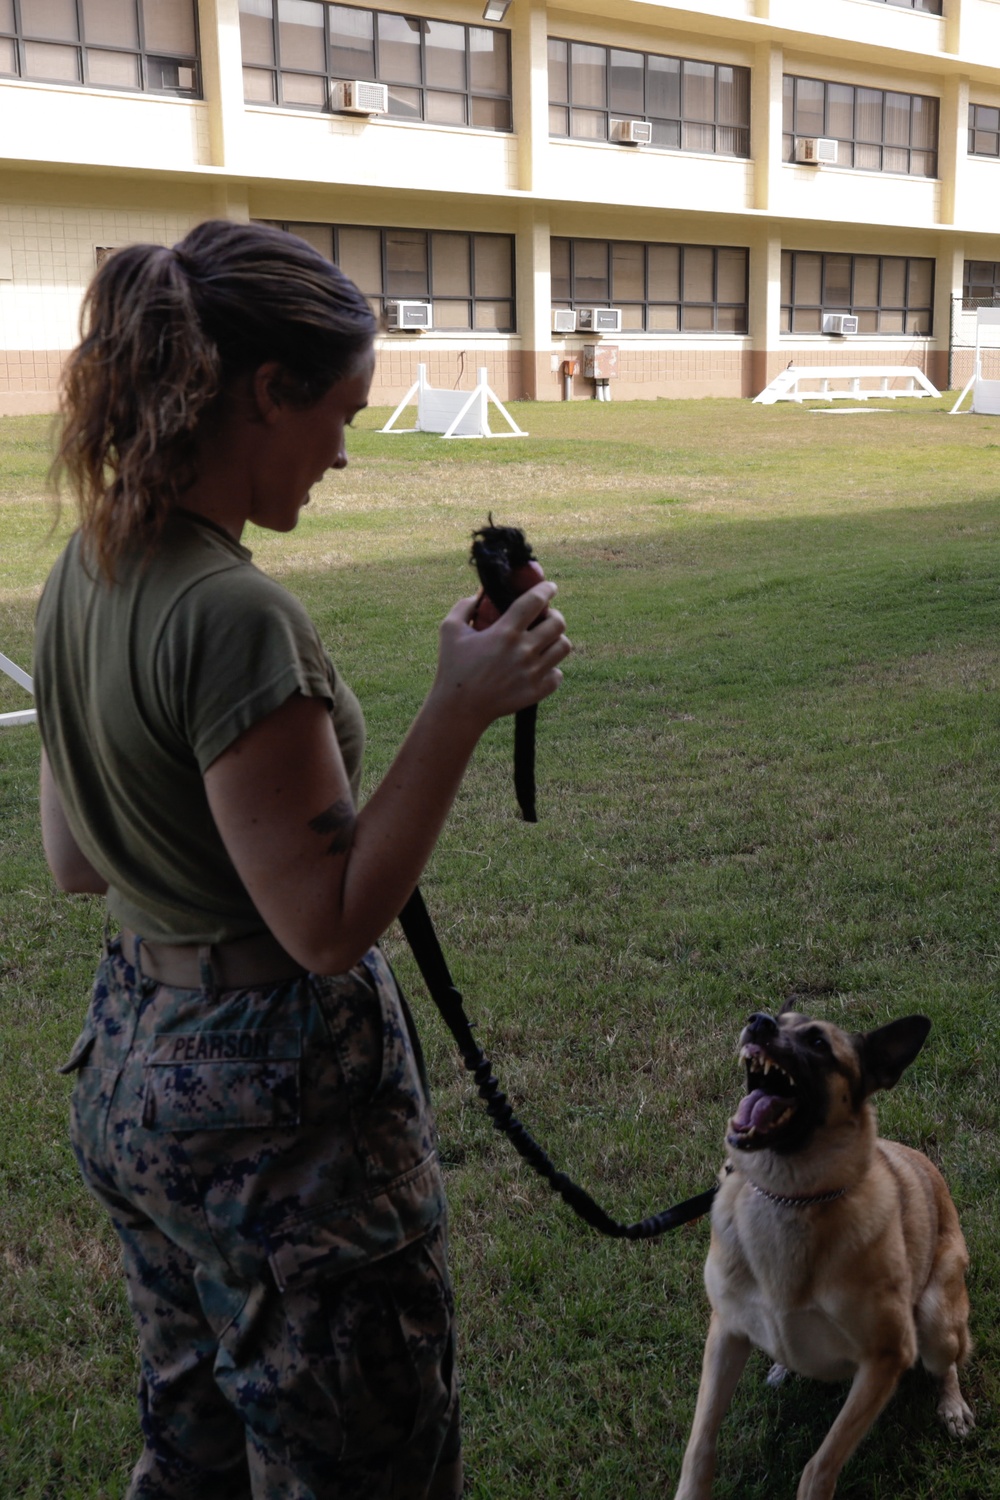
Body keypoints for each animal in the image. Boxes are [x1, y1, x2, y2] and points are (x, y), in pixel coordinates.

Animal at [677, 1008, 971, 1500]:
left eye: (817, 1043)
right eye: (778, 1017)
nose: (757, 1021)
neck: (789, 1197)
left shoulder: (887, 1356)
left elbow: (821, 1462)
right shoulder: (726, 1332)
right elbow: (700, 1443)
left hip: (935, 1320)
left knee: (947, 1363)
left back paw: (953, 1406)